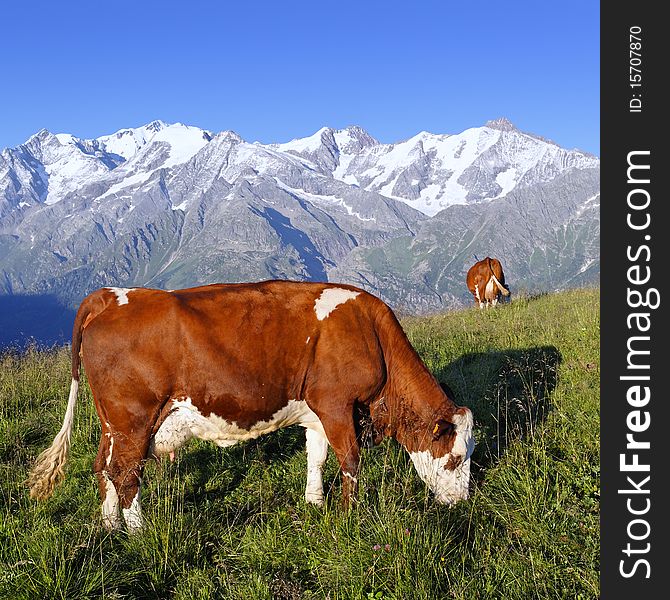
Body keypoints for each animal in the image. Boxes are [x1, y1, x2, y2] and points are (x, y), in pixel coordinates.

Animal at [27, 278, 478, 532]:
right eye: (456, 458)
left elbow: (317, 457)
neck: (371, 332)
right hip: (135, 419)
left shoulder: (317, 412)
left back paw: (109, 527)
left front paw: (314, 502)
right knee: (125, 474)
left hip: (113, 423)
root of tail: (111, 295)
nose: (462, 504)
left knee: (103, 467)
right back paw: (138, 532)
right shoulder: (337, 405)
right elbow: (350, 460)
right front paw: (350, 514)